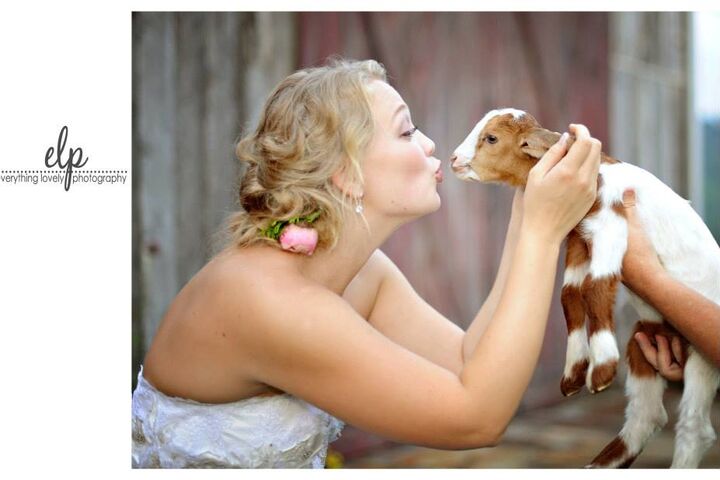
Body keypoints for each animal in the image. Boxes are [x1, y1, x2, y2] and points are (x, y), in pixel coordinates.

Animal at [450, 109, 720, 468]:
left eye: (491, 138)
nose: (453, 160)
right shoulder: (580, 238)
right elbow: (570, 294)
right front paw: (574, 374)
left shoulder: (610, 226)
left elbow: (596, 286)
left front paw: (602, 369)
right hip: (643, 338)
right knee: (647, 415)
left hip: (702, 353)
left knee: (695, 427)